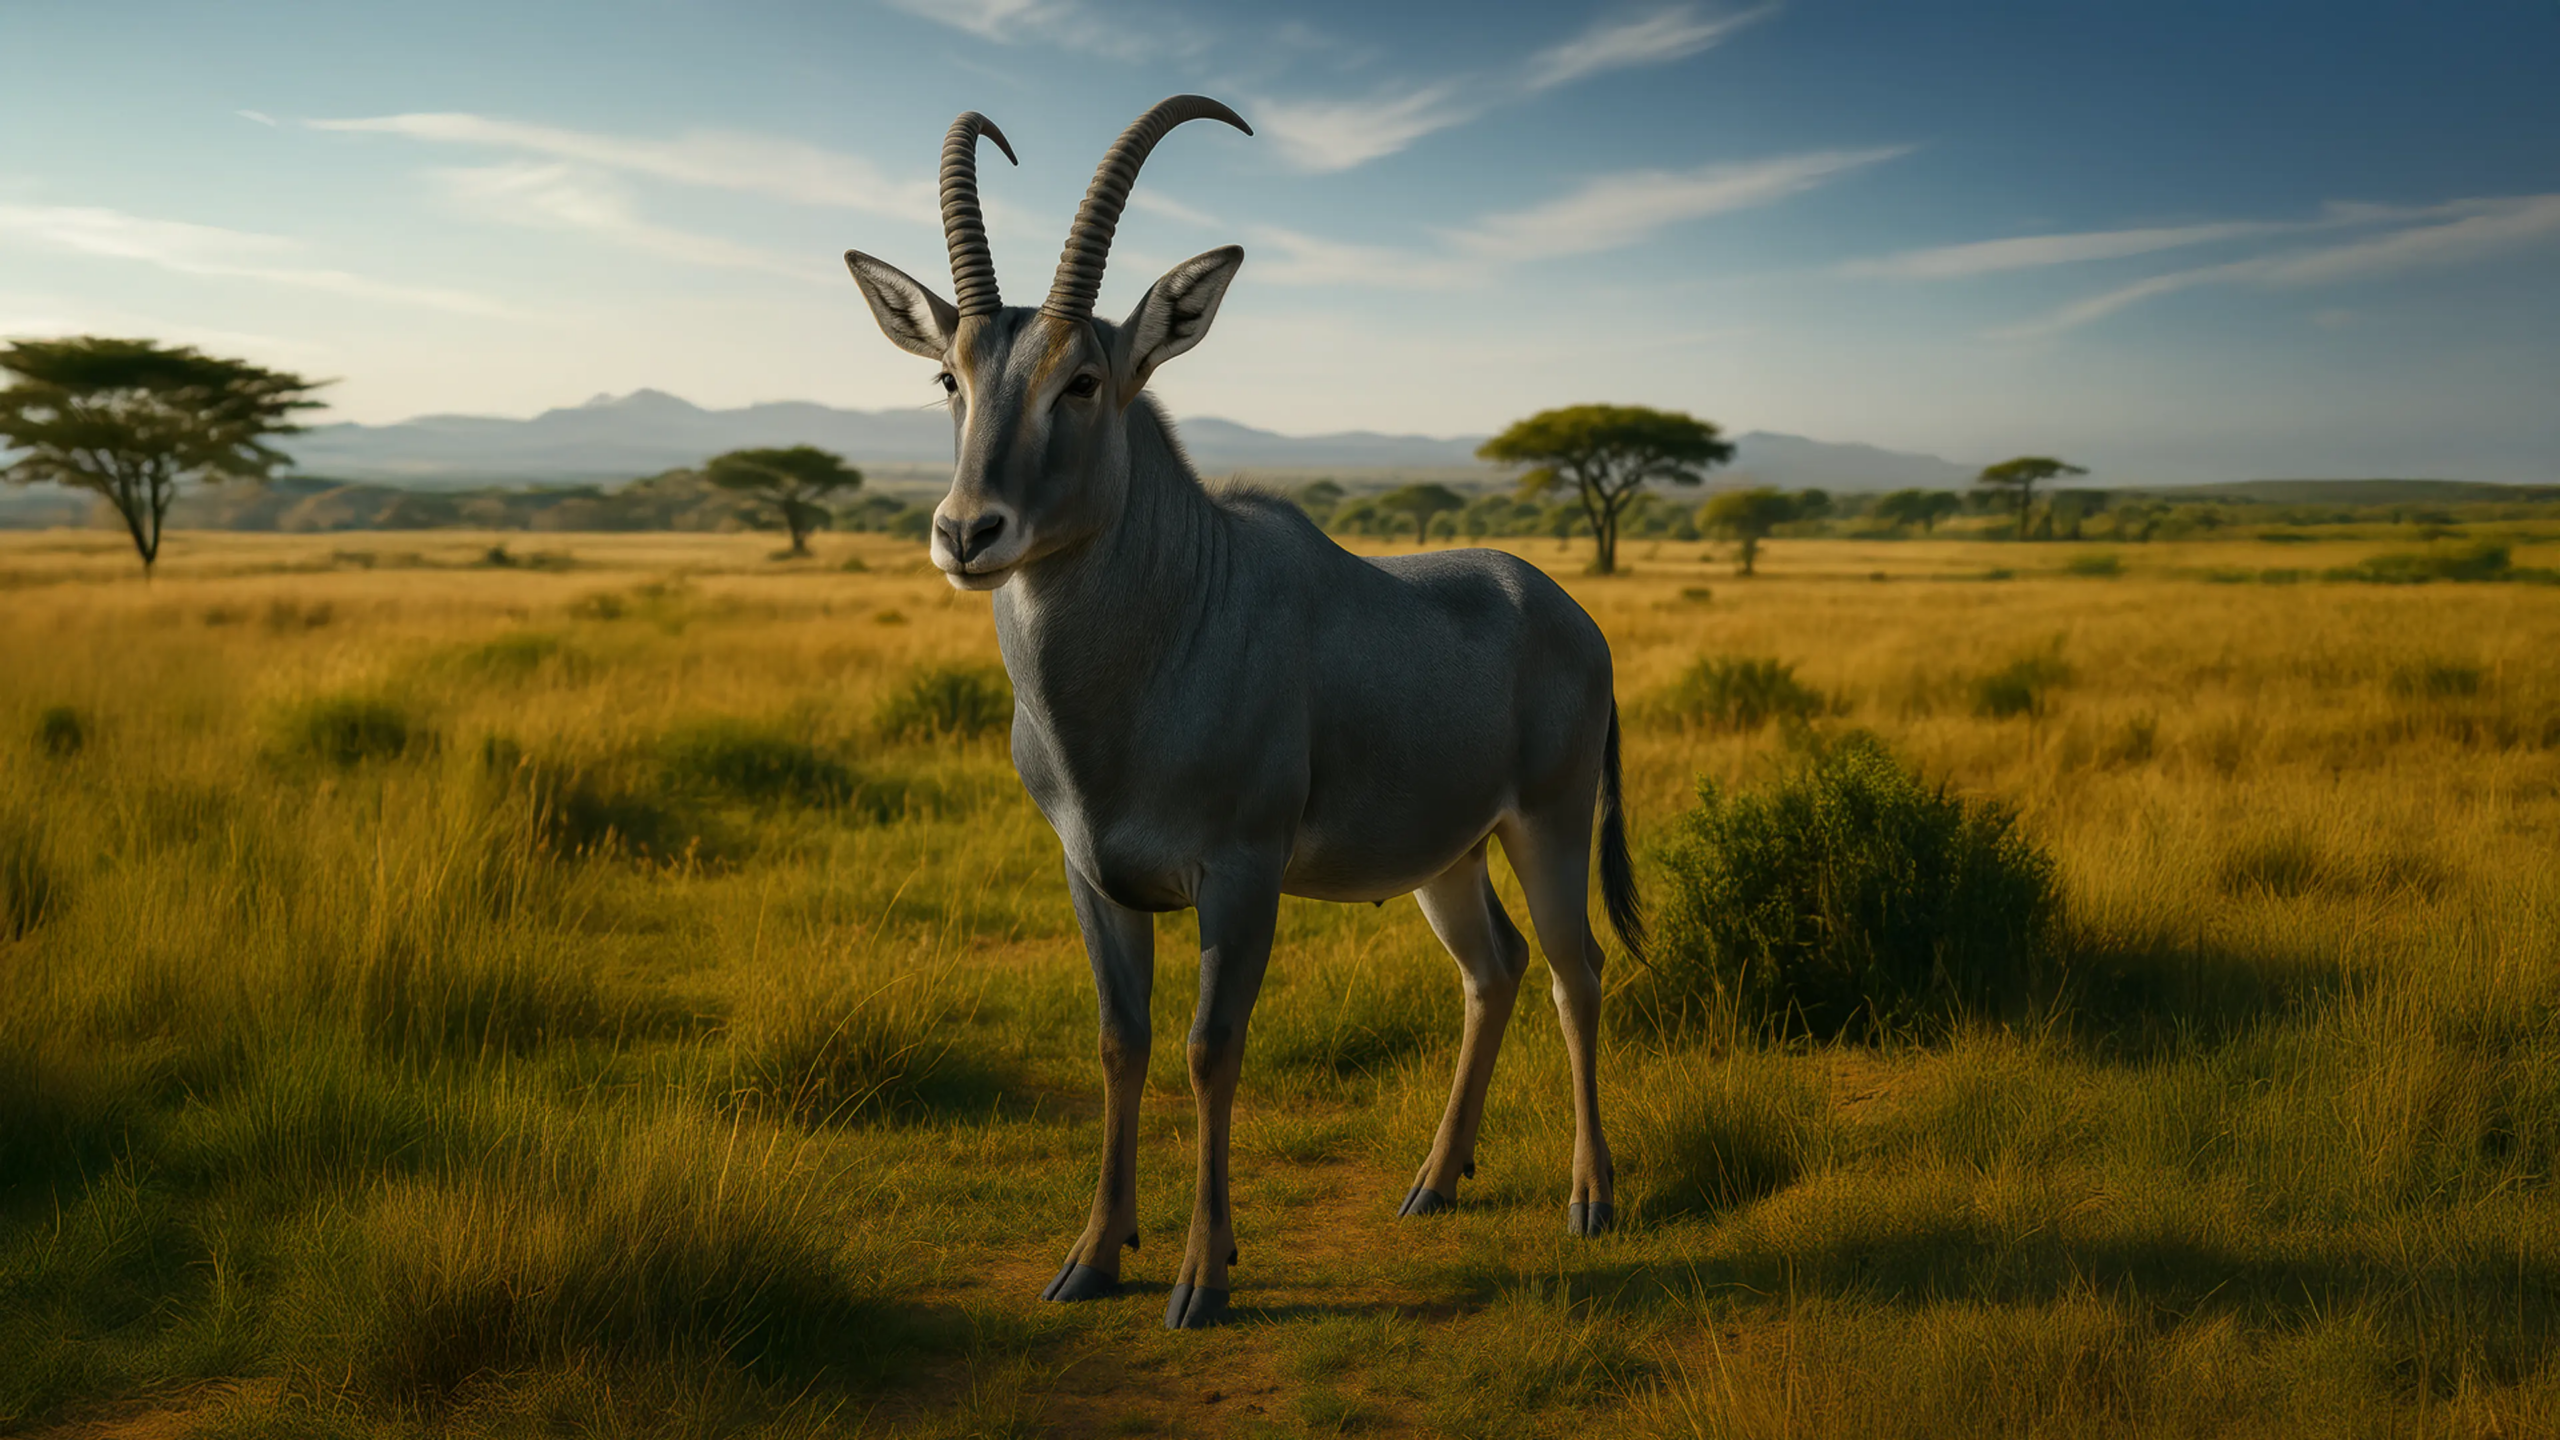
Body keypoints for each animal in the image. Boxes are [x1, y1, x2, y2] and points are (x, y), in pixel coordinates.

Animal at [842, 96, 1643, 1329]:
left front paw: (1201, 1278)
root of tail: (1565, 610)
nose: (967, 532)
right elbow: (1120, 1043)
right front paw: (1091, 1258)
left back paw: (1589, 1199)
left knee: (1576, 970)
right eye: (950, 377)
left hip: (1546, 829)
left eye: (1084, 379)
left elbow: (1210, 1050)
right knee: (1493, 968)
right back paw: (1433, 1183)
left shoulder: (1242, 875)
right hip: (1449, 858)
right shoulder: (1091, 877)